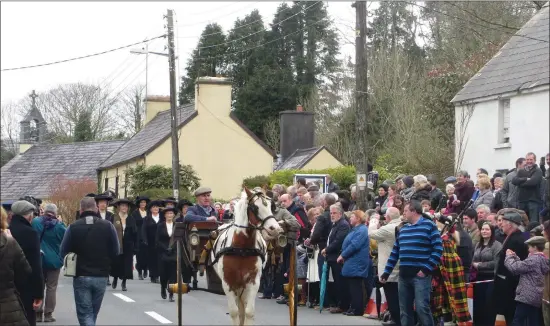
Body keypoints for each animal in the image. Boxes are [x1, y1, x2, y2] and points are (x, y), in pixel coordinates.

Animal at [210, 188, 282, 326]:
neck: (242, 249)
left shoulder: (253, 281)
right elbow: (234, 312)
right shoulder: (228, 282)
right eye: (254, 207)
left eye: (272, 206)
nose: (275, 229)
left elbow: (248, 312)